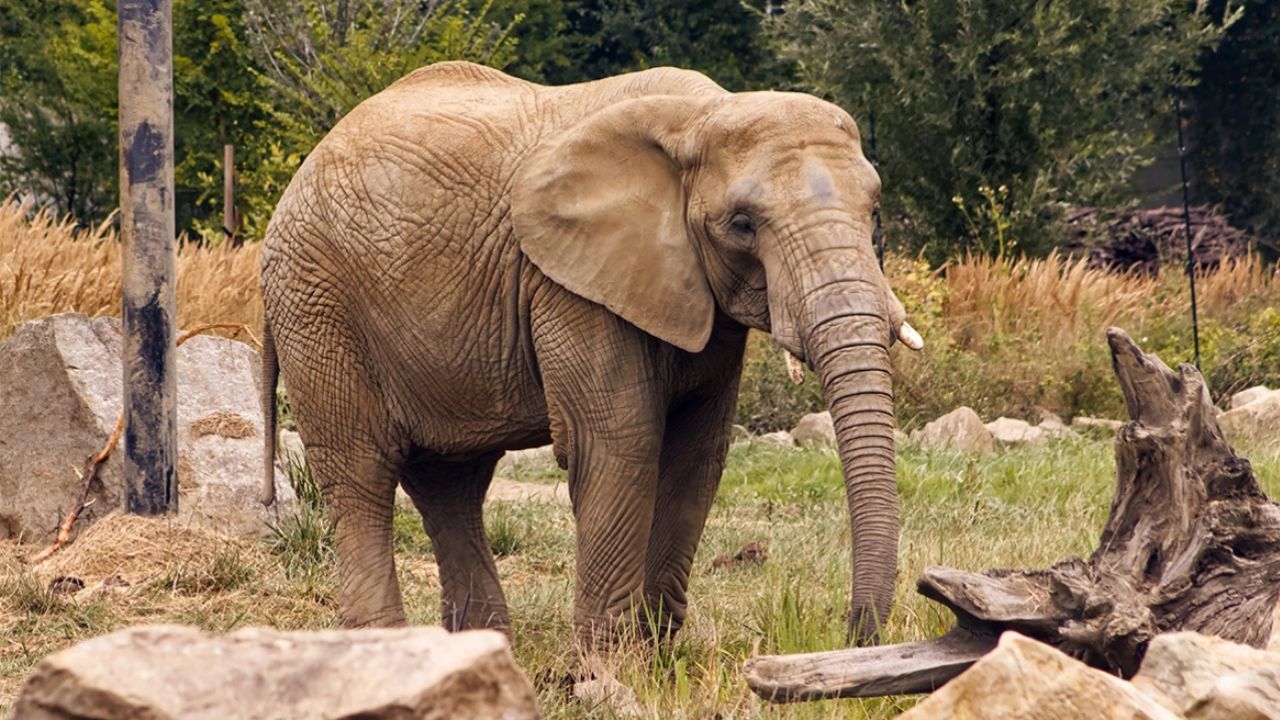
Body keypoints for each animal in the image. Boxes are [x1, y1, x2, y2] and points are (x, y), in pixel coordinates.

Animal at [259, 60, 923, 650]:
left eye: (875, 212)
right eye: (742, 224)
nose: (854, 634)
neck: (702, 115)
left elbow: (697, 451)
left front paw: (659, 656)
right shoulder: (568, 283)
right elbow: (618, 440)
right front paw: (611, 667)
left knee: (451, 480)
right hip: (316, 305)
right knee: (361, 472)